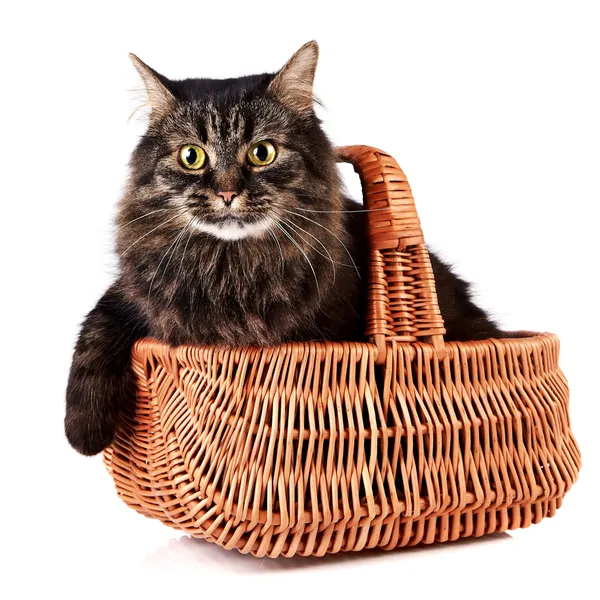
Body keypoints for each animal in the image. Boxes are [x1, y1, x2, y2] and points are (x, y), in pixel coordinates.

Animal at [65, 42, 506, 454]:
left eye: (262, 153)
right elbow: (95, 329)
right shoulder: (133, 296)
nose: (227, 193)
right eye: (192, 156)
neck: (229, 269)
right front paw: (84, 433)